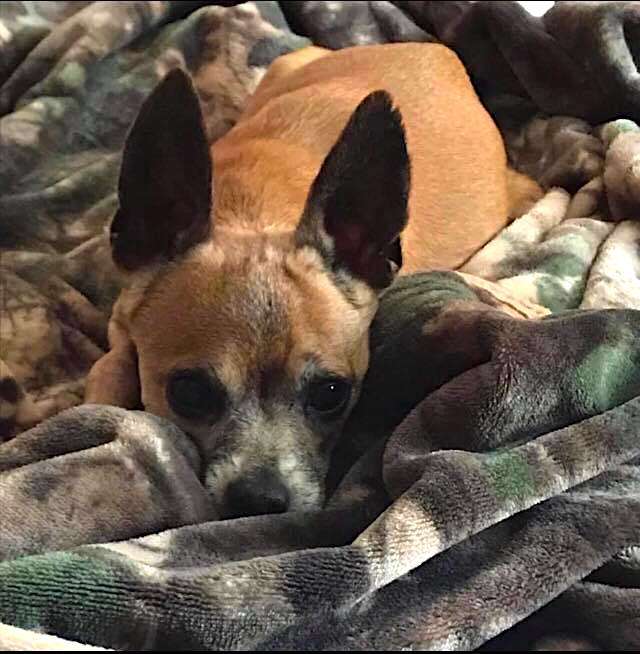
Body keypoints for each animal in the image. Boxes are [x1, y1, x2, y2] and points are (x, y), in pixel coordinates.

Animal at [85, 43, 540, 520]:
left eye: (330, 394)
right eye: (188, 393)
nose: (260, 500)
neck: (253, 214)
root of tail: (435, 50)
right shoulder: (121, 328)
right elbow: (109, 377)